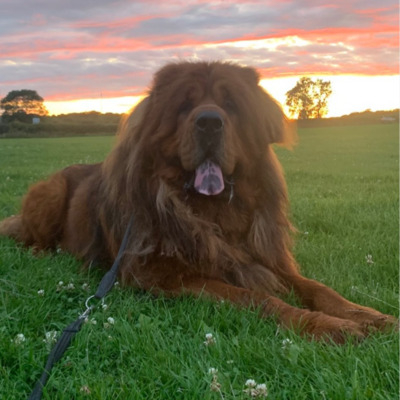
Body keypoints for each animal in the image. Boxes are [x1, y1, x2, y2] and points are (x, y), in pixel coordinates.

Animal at [0, 61, 396, 342]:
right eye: (184, 105)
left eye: (231, 104)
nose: (208, 122)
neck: (212, 212)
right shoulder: (163, 276)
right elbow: (256, 297)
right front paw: (326, 326)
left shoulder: (264, 257)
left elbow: (319, 288)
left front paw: (366, 315)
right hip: (50, 193)